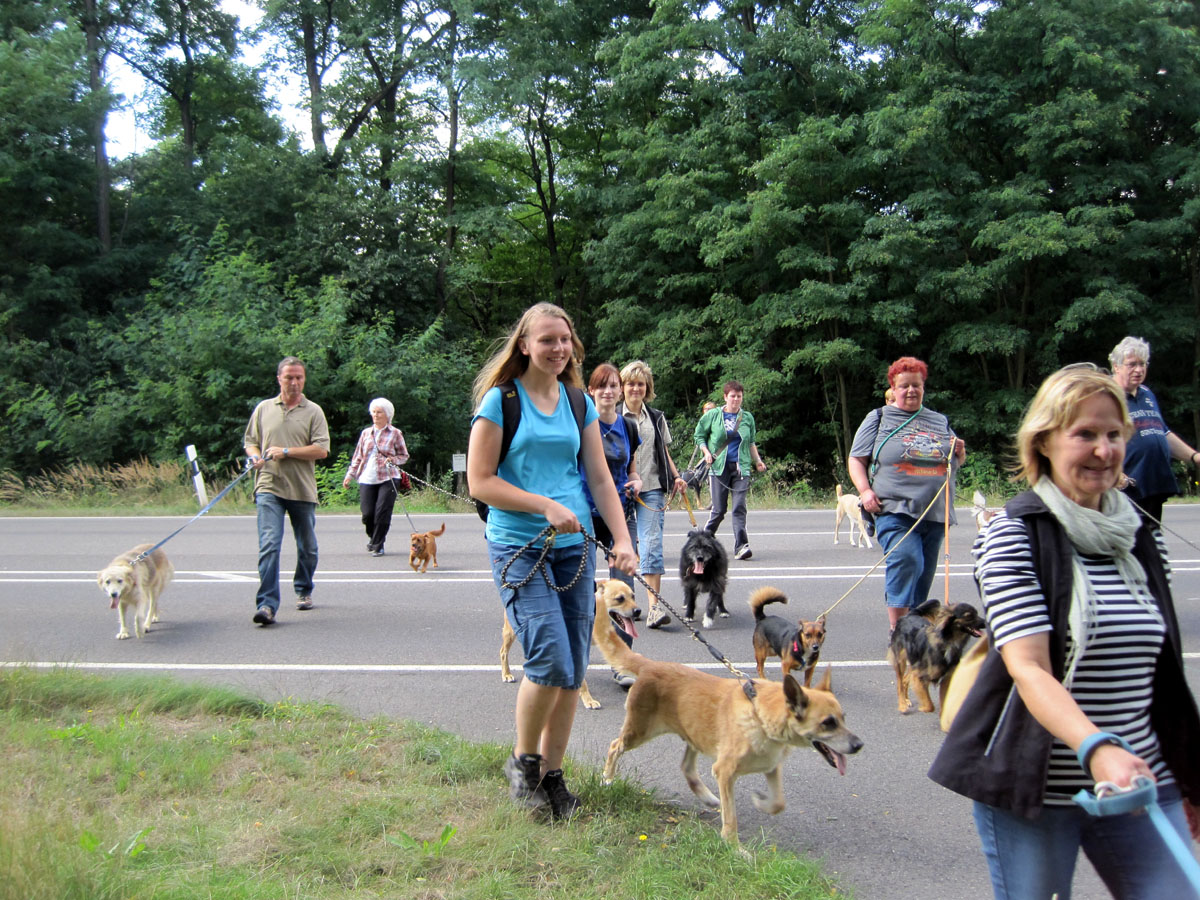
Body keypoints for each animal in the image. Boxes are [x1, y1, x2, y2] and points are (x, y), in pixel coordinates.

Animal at [499, 579, 639, 710]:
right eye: (620, 599)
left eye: (633, 596)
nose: (638, 611)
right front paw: (588, 699)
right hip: (511, 631)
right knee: (503, 652)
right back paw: (507, 674)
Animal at [594, 605, 863, 845]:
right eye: (828, 723)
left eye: (843, 717)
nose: (859, 745)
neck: (759, 716)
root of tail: (650, 665)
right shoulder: (725, 772)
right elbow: (731, 817)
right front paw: (734, 848)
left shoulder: (771, 767)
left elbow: (778, 803)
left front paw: (761, 802)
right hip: (639, 731)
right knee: (615, 746)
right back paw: (607, 779)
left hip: (694, 732)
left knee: (686, 767)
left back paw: (708, 797)